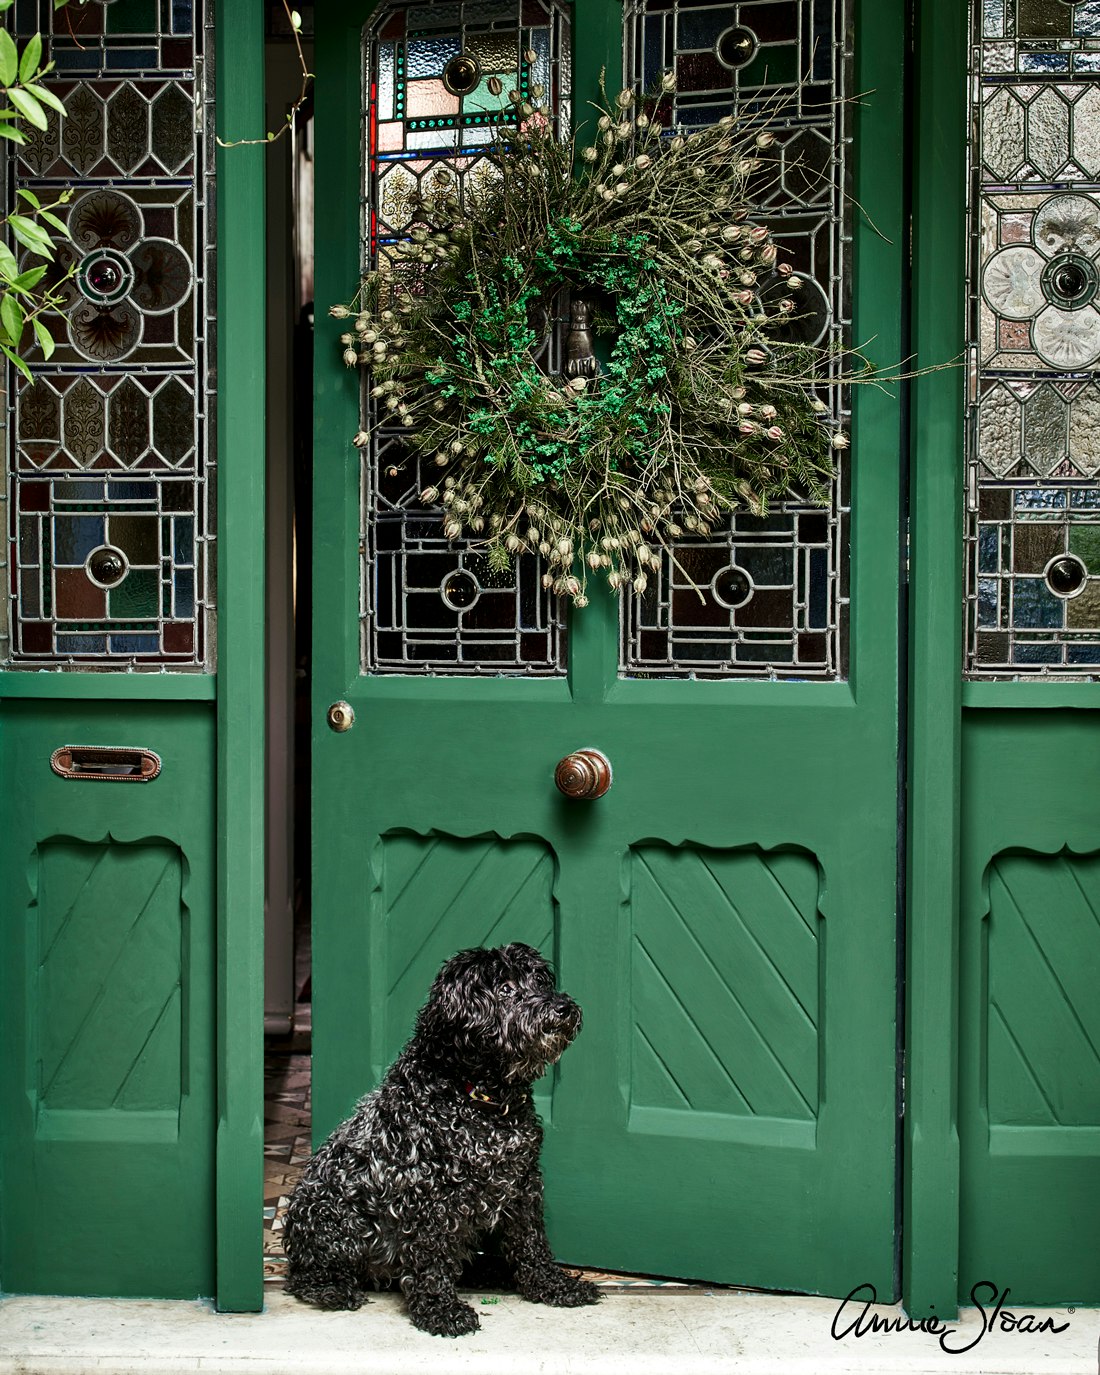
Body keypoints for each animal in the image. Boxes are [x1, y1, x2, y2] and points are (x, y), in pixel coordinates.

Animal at [279, 940, 596, 1336]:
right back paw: (332, 1289)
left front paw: (553, 1285)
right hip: (336, 1219)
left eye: (539, 981)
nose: (562, 1007)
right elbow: (431, 1261)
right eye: (505, 989)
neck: (476, 1097)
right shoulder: (428, 1198)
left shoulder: (522, 1185)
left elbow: (532, 1244)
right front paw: (441, 1310)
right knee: (307, 1275)